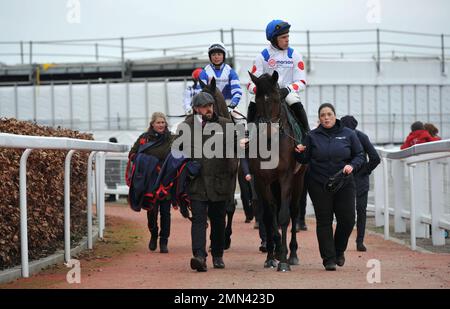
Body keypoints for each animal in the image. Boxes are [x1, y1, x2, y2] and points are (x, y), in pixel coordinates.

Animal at [246, 71, 306, 270]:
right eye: (257, 99)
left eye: (275, 99)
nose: (266, 128)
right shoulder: (262, 180)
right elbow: (269, 216)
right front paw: (273, 255)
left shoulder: (285, 177)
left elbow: (283, 216)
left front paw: (284, 259)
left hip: (299, 179)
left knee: (294, 211)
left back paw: (293, 254)